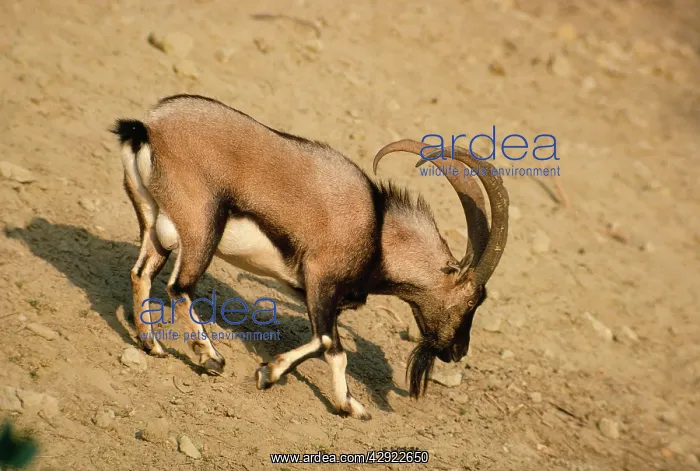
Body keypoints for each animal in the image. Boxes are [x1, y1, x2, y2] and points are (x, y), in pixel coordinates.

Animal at [110, 94, 509, 420]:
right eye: (472, 301)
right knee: (180, 287)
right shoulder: (321, 282)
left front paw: (342, 402)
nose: (457, 351)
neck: (377, 229)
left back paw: (152, 345)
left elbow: (329, 344)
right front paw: (283, 379)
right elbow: (330, 345)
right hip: (201, 230)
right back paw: (211, 358)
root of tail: (149, 128)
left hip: (154, 225)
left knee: (141, 273)